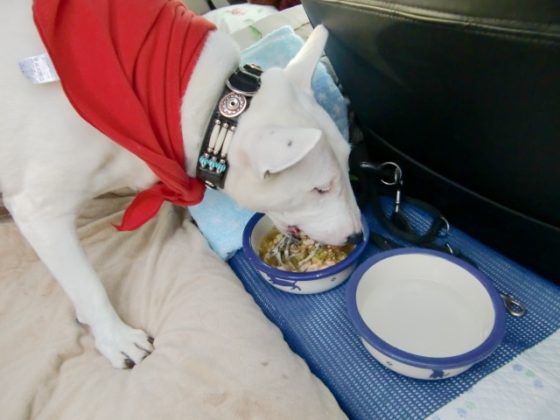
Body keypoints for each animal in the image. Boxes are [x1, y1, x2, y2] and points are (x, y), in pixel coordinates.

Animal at [0, 0, 363, 368]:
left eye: (348, 163)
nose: (357, 236)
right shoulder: (41, 214)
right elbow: (87, 283)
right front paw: (116, 340)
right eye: (320, 188)